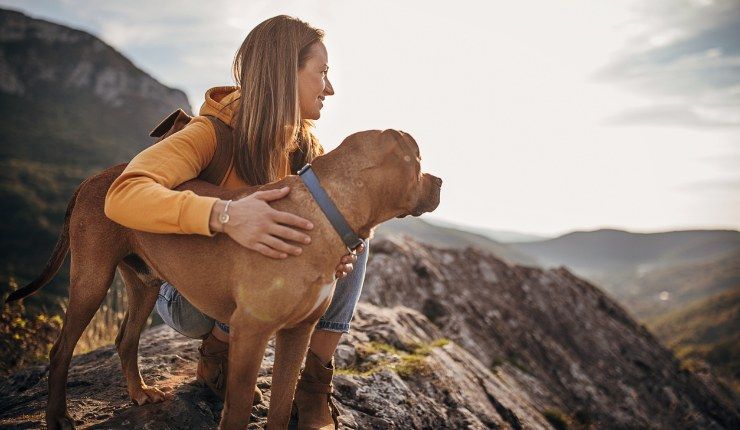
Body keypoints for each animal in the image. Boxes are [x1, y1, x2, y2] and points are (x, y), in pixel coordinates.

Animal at [7, 129, 440, 428]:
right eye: (418, 162)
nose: (441, 183)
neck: (326, 209)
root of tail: (95, 178)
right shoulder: (251, 331)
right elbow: (239, 405)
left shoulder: (297, 333)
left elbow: (280, 404)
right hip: (92, 280)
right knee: (60, 350)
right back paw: (58, 416)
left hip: (144, 283)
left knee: (125, 340)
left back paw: (140, 393)